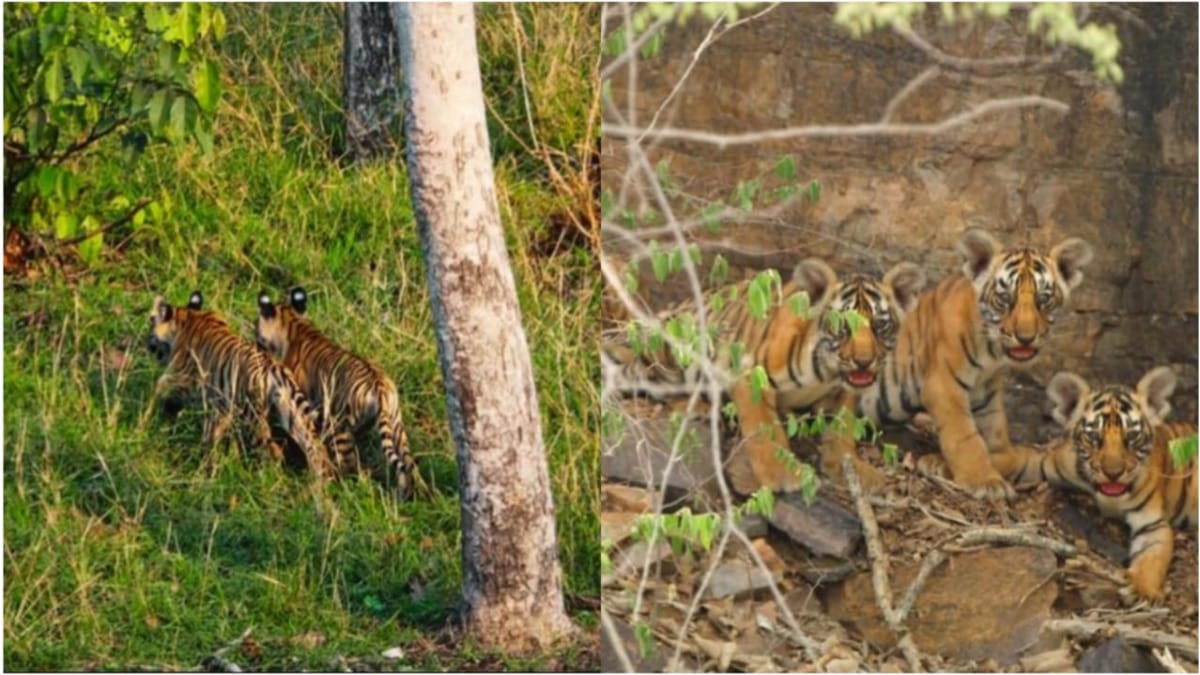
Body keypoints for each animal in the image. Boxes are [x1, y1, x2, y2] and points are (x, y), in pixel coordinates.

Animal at [146, 291, 333, 478]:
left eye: (151, 323)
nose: (146, 345)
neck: (187, 316)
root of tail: (274, 368)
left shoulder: (177, 376)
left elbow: (158, 391)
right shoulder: (219, 405)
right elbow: (214, 432)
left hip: (252, 416)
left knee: (273, 450)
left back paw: (265, 479)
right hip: (292, 413)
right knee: (315, 448)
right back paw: (317, 483)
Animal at [255, 287, 417, 500]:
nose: (255, 342)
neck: (294, 323)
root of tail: (379, 386)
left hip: (339, 428)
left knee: (351, 468)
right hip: (397, 425)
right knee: (409, 466)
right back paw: (406, 497)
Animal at [601, 258, 927, 494]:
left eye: (879, 326)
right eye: (842, 327)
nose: (864, 362)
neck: (826, 371)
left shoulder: (843, 391)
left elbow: (842, 430)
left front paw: (849, 469)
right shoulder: (750, 375)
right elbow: (765, 430)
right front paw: (783, 476)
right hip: (669, 353)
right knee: (645, 380)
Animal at [856, 228, 1093, 500]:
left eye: (1043, 300)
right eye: (1004, 299)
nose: (1025, 337)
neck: (991, 354)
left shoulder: (985, 396)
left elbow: (996, 441)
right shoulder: (944, 386)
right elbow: (965, 437)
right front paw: (985, 481)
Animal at [1002, 367, 1196, 600]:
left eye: (1132, 436)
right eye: (1094, 436)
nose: (1113, 473)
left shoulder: (1152, 524)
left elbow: (1152, 557)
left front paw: (1141, 589)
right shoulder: (1050, 462)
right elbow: (1017, 459)